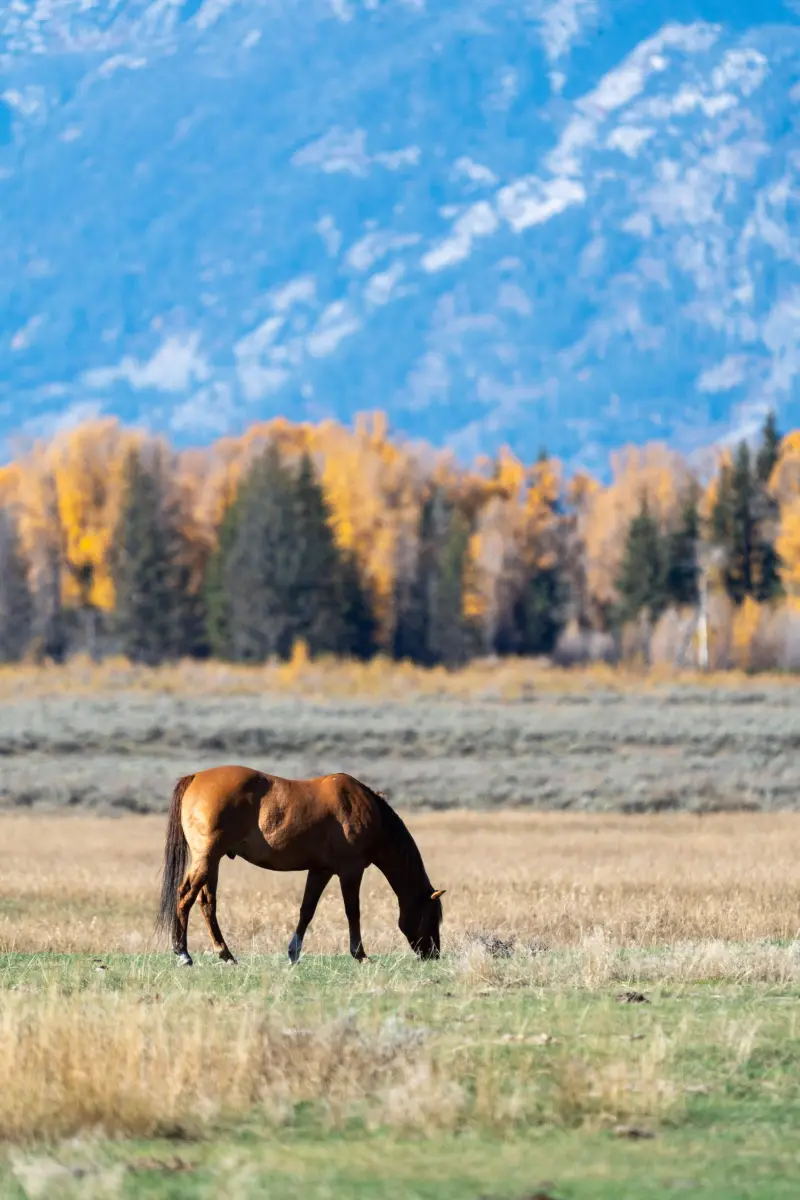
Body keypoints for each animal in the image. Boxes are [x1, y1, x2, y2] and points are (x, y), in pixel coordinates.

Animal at [154, 765, 446, 967]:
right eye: (432, 916)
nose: (433, 954)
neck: (366, 810)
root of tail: (195, 777)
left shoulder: (321, 870)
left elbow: (307, 910)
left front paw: (293, 952)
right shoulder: (350, 871)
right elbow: (353, 912)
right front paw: (361, 955)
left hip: (212, 861)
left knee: (207, 903)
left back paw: (225, 954)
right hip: (206, 858)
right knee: (186, 896)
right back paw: (183, 953)